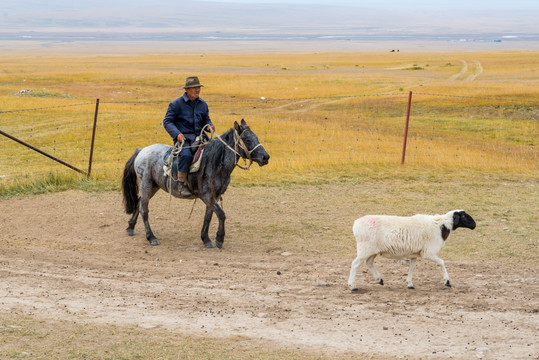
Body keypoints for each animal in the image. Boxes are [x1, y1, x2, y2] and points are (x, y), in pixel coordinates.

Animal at [122, 119, 270, 249]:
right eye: (248, 140)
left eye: (256, 137)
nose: (265, 157)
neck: (215, 162)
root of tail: (142, 150)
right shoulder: (206, 195)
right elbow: (221, 214)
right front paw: (219, 238)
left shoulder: (215, 196)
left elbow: (208, 216)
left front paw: (206, 239)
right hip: (146, 184)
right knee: (144, 209)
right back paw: (151, 237)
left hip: (153, 186)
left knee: (139, 202)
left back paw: (130, 227)